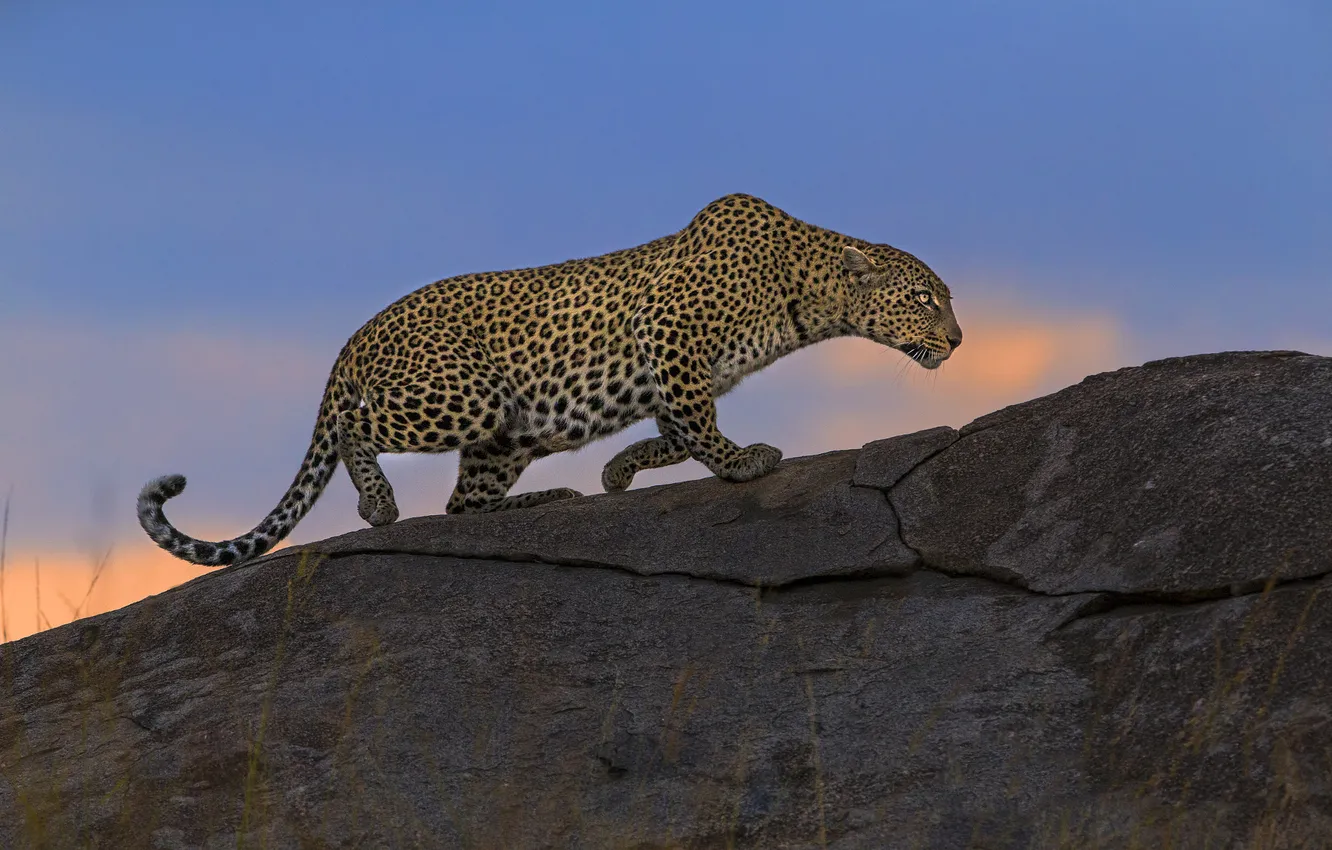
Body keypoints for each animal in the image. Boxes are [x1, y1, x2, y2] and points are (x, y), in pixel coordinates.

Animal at [138, 193, 963, 566]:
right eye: (926, 298)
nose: (958, 339)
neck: (810, 293)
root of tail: (359, 331)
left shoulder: (676, 370)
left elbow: (675, 432)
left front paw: (619, 471)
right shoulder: (669, 333)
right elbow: (700, 429)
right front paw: (743, 464)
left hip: (503, 435)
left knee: (463, 503)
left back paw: (545, 499)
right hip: (465, 396)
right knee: (355, 427)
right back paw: (378, 504)